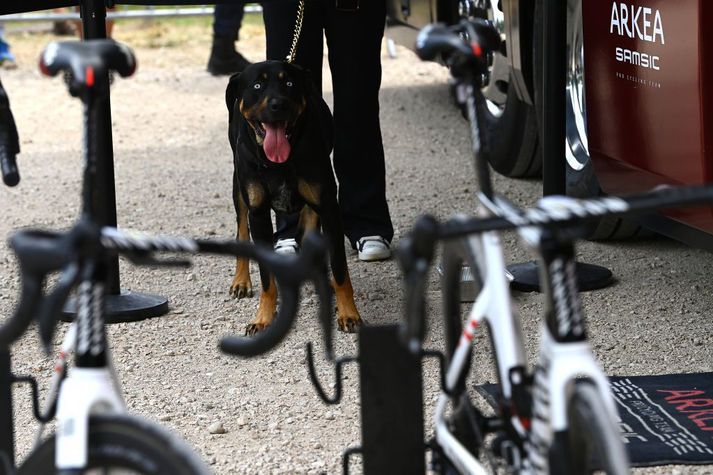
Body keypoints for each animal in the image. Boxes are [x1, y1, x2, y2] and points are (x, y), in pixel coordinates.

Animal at [225, 59, 362, 334]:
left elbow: (340, 269)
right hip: (239, 188)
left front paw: (348, 312)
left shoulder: (329, 208)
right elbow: (267, 278)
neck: (278, 162)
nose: (278, 104)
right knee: (242, 231)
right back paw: (241, 281)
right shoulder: (258, 213)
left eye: (289, 83)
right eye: (257, 85)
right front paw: (263, 318)